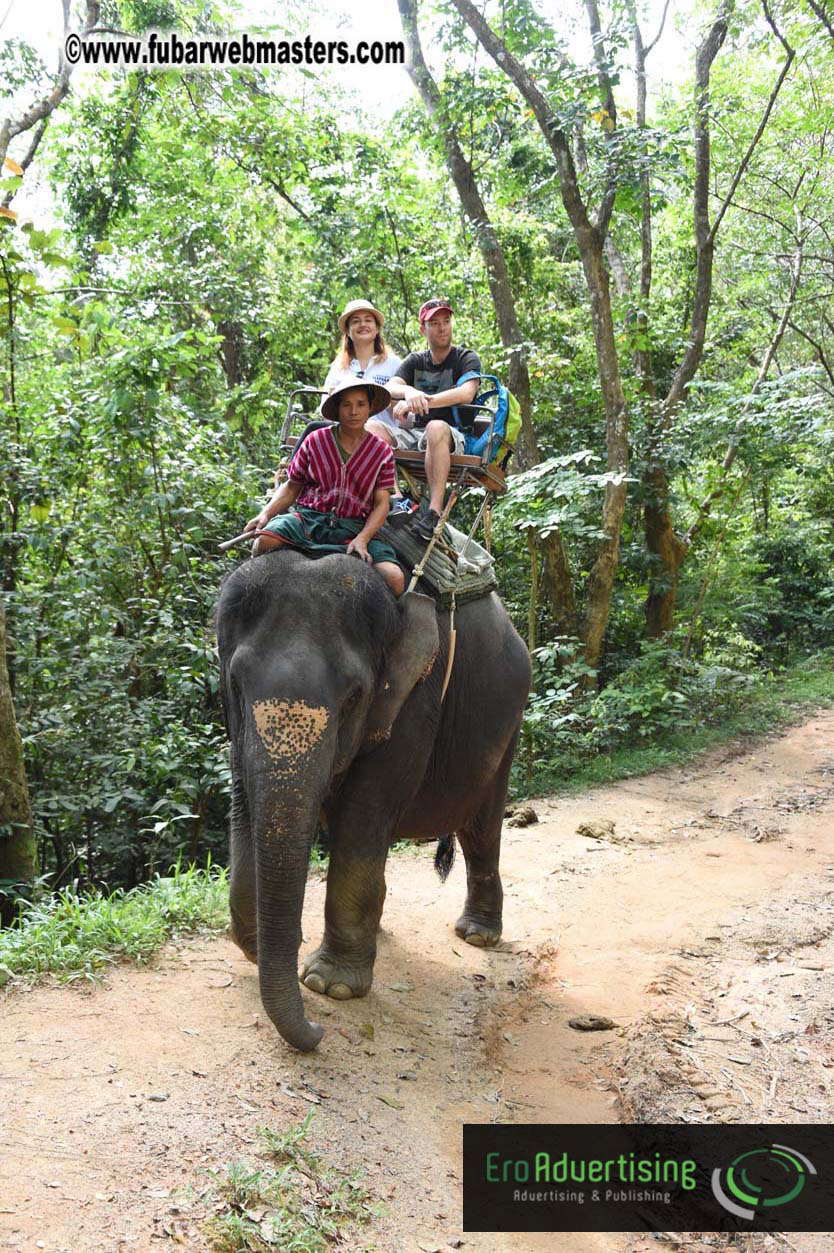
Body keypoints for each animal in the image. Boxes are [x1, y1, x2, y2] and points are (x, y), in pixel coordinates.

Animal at [216, 547, 531, 1052]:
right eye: (236, 685)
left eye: (354, 697)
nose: (318, 1030)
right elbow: (244, 799)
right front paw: (254, 945)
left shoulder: (417, 695)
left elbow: (365, 810)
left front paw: (330, 987)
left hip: (509, 722)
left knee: (480, 829)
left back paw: (476, 935)